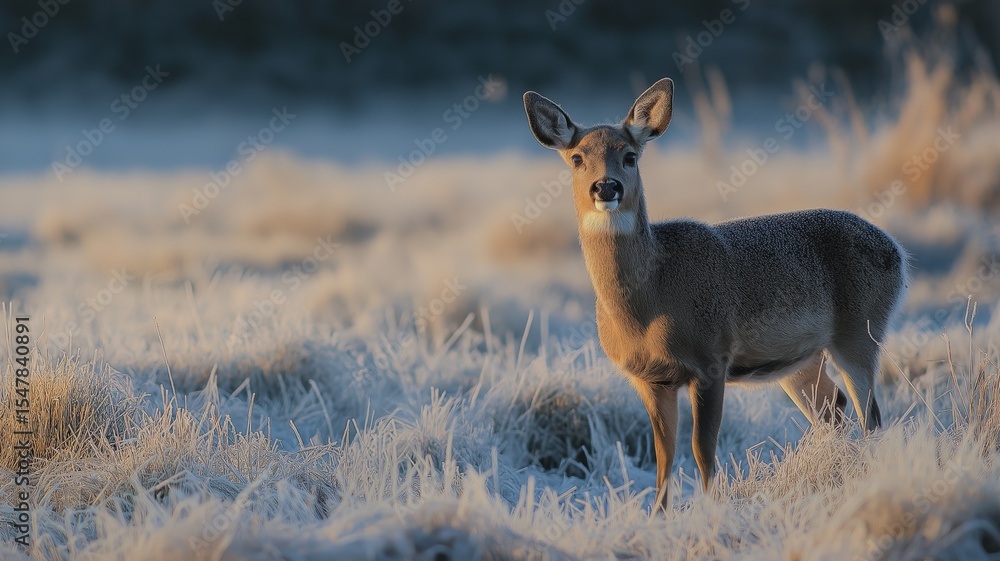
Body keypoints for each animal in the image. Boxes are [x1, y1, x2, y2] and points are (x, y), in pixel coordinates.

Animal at [522, 78, 907, 509]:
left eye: (630, 156)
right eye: (576, 158)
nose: (606, 187)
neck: (649, 301)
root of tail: (897, 251)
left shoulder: (711, 360)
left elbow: (702, 449)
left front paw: (710, 510)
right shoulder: (649, 378)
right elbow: (663, 455)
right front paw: (659, 516)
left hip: (861, 332)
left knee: (870, 417)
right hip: (801, 362)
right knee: (834, 409)